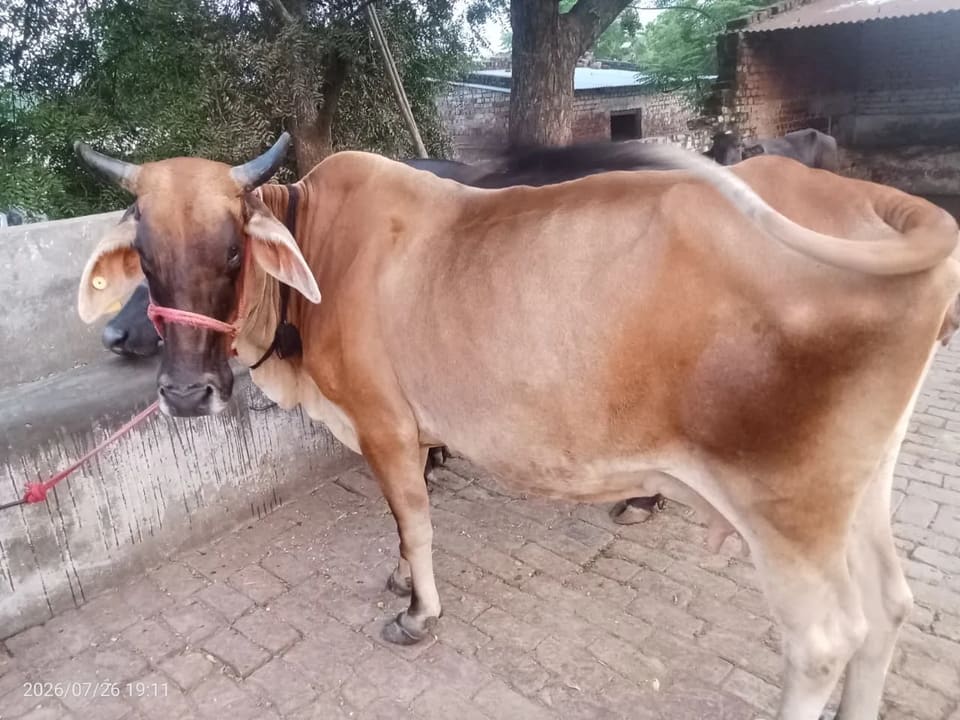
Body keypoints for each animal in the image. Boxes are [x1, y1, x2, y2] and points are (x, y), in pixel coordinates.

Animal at [73, 133, 960, 719]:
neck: (321, 257)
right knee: (889, 606)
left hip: (786, 508)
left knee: (824, 642)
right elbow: (403, 525)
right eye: (144, 253)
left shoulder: (385, 424)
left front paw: (418, 611)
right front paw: (399, 577)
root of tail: (866, 199)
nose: (186, 393)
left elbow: (414, 519)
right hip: (859, 490)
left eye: (231, 251)